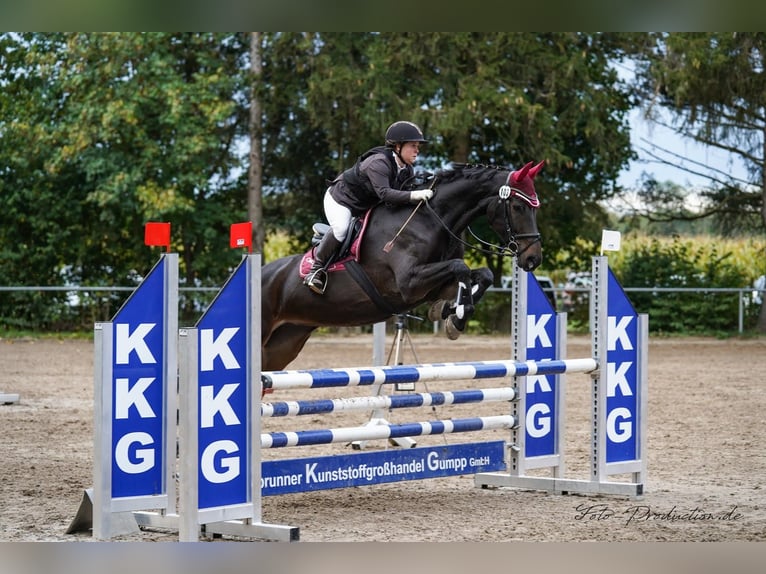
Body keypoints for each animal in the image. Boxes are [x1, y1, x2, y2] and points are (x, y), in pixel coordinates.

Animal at [261, 160, 544, 372]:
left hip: (285, 342)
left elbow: (480, 274)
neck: (432, 219)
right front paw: (458, 312)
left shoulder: (431, 287)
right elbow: (460, 267)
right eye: (518, 206)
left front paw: (451, 314)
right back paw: (315, 276)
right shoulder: (409, 284)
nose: (533, 259)